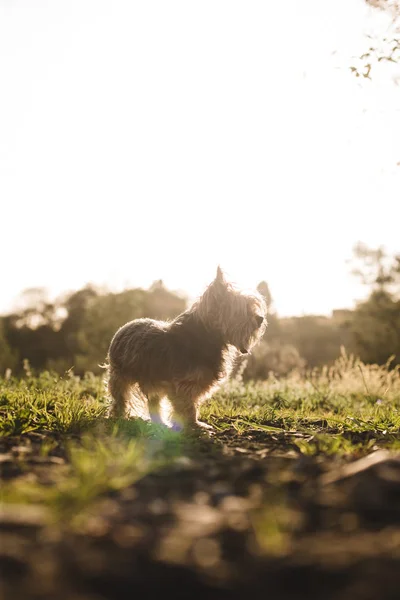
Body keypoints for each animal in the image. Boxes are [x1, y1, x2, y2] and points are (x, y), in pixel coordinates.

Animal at [107, 268, 266, 426]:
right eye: (242, 310)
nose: (261, 318)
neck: (206, 335)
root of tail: (123, 327)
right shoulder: (184, 384)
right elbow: (188, 405)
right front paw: (193, 425)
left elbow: (191, 403)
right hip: (120, 374)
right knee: (120, 397)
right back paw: (118, 416)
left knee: (154, 400)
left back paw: (160, 423)